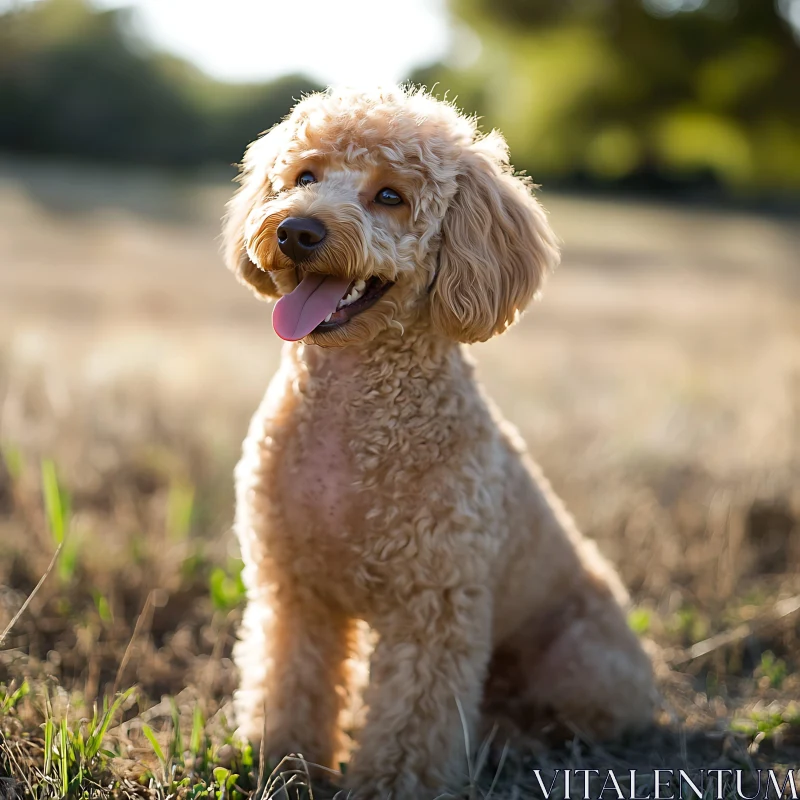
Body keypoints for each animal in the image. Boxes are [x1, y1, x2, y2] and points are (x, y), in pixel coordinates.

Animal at [220, 84, 656, 796]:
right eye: (304, 177)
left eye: (390, 196)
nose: (297, 230)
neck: (352, 411)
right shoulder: (294, 591)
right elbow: (291, 683)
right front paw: (283, 762)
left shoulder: (434, 608)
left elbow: (412, 724)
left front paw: (389, 785)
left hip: (585, 667)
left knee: (559, 720)